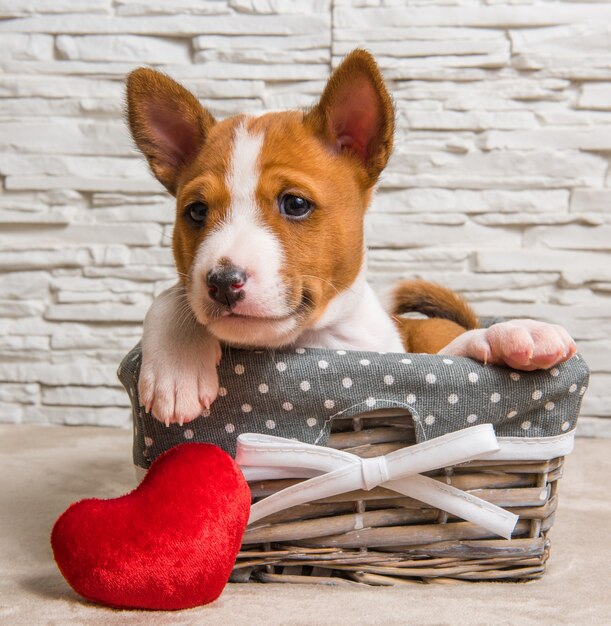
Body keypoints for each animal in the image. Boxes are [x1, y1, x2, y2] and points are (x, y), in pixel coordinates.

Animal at [125, 51, 580, 426]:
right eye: (196, 212)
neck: (312, 342)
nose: (221, 282)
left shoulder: (405, 358)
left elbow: (457, 351)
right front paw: (178, 367)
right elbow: (170, 296)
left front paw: (509, 334)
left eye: (295, 204)